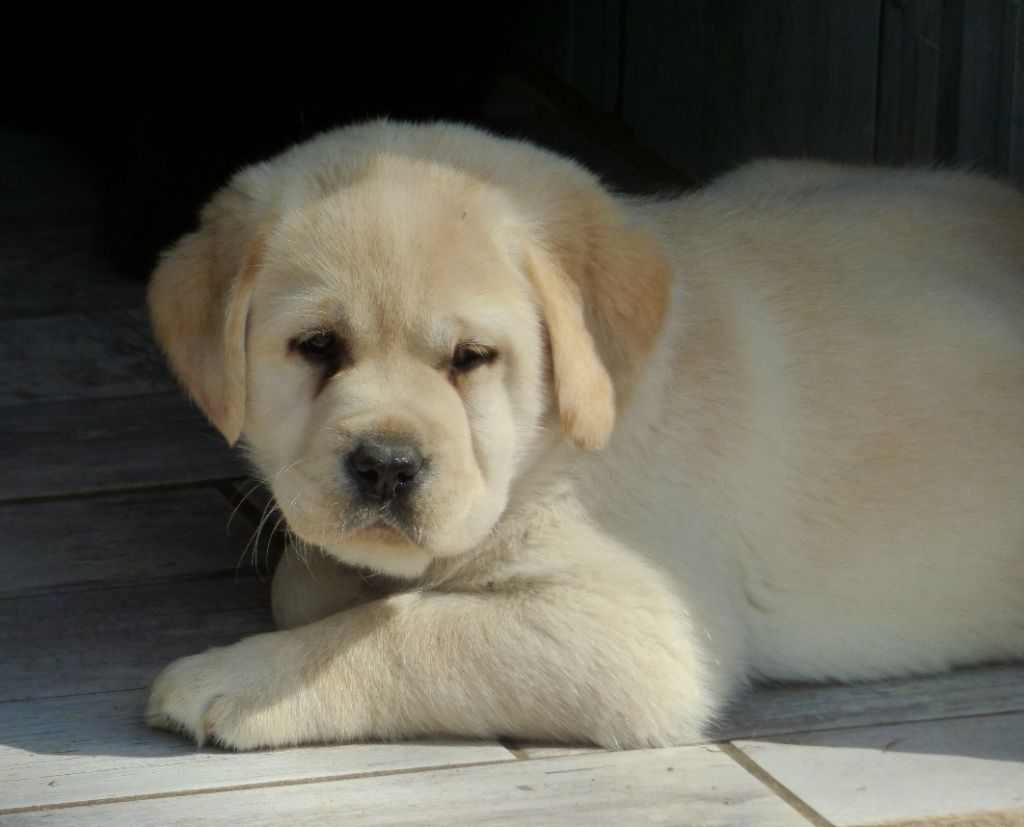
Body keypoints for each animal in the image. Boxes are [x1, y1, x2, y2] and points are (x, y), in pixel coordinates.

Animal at [146, 121, 1024, 750]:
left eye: (472, 358)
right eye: (318, 346)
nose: (387, 466)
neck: (553, 452)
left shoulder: (640, 632)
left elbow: (410, 631)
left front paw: (243, 679)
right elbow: (306, 580)